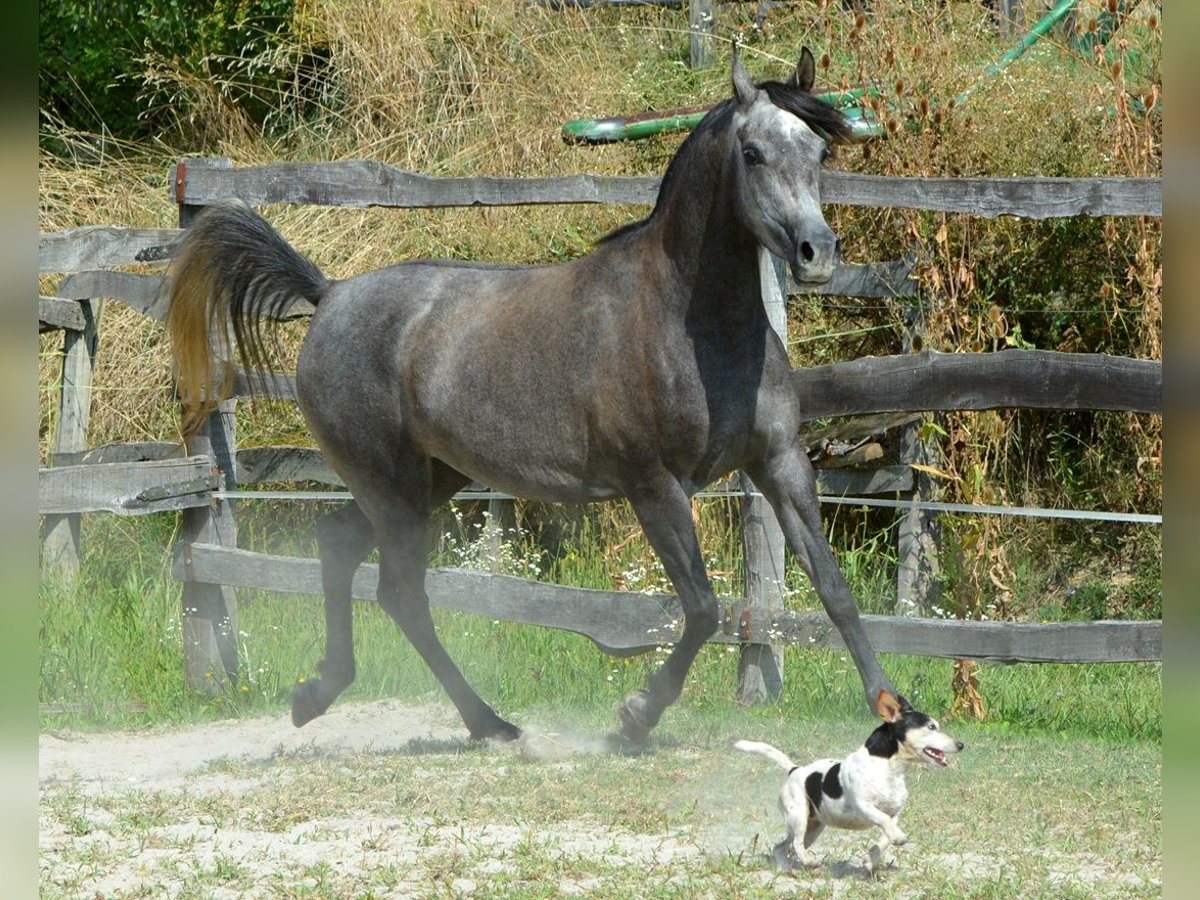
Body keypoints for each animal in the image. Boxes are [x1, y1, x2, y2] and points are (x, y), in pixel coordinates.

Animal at [174, 45, 897, 744]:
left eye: (820, 152)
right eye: (752, 153)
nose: (817, 252)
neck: (690, 324)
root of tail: (330, 294)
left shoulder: (779, 462)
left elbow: (833, 588)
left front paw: (892, 707)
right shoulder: (654, 485)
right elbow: (701, 608)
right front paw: (636, 715)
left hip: (426, 480)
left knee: (342, 549)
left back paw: (331, 697)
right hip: (391, 485)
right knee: (400, 592)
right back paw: (478, 722)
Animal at [729, 691, 964, 873]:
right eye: (931, 727)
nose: (960, 744)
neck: (888, 768)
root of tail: (794, 770)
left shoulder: (895, 812)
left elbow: (885, 836)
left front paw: (871, 859)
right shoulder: (864, 806)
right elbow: (884, 822)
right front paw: (899, 839)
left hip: (813, 826)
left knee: (783, 847)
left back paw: (789, 867)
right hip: (798, 817)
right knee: (795, 843)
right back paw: (808, 861)